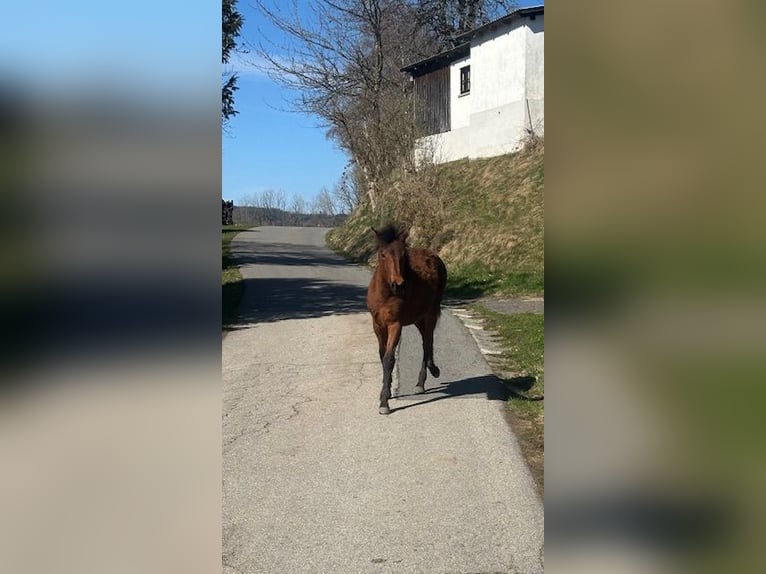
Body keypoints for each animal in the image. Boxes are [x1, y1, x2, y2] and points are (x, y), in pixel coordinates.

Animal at [366, 225, 447, 414]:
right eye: (383, 254)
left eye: (403, 255)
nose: (399, 285)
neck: (386, 295)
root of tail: (434, 256)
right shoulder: (378, 325)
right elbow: (382, 356)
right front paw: (386, 391)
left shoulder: (395, 325)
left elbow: (389, 359)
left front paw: (384, 402)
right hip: (418, 318)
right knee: (426, 340)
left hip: (430, 313)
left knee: (427, 342)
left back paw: (424, 379)